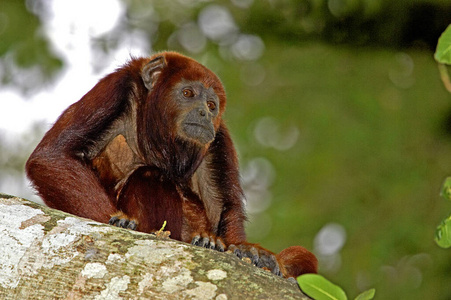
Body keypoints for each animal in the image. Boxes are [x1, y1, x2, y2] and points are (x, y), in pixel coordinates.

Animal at [25, 51, 318, 278]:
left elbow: (222, 207)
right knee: (150, 175)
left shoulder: (217, 135)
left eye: (211, 105)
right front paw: (119, 222)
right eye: (188, 93)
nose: (204, 113)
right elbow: (52, 157)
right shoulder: (116, 87)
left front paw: (246, 249)